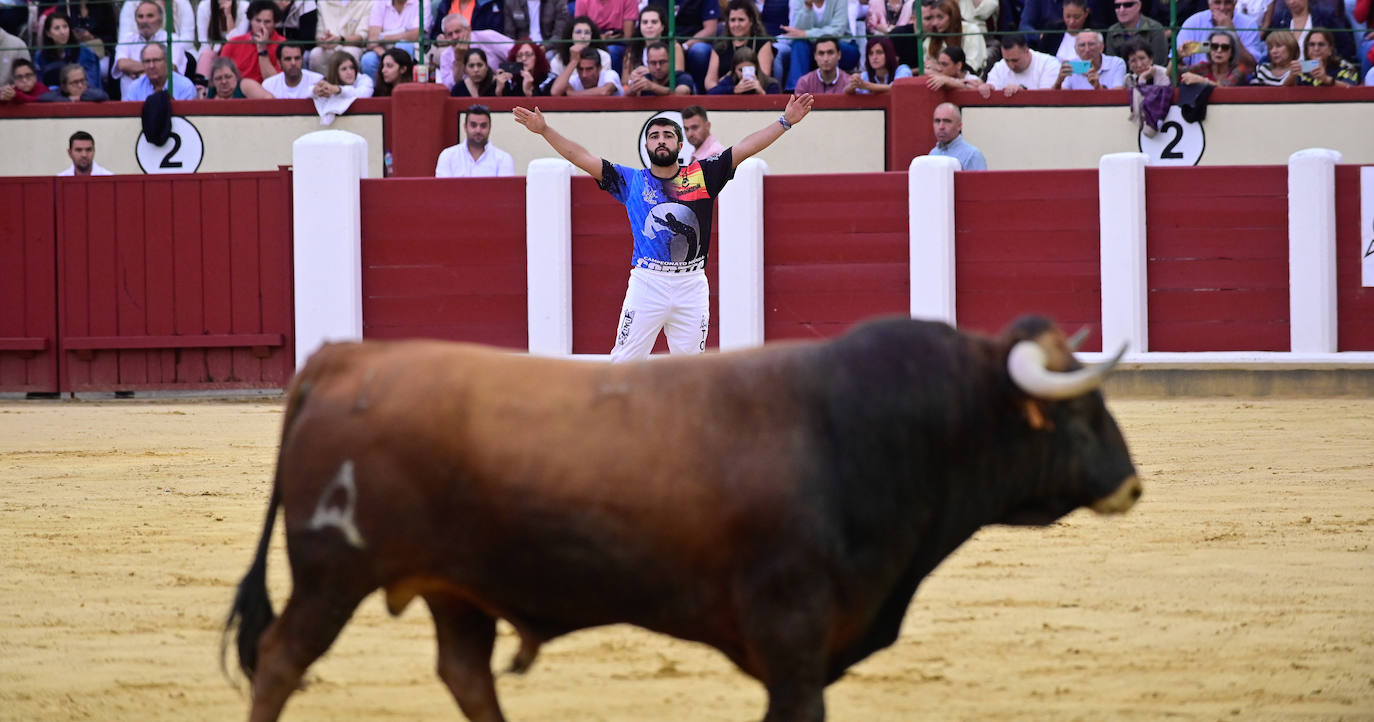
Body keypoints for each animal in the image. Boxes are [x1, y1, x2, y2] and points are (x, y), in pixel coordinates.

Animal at [225, 314, 1143, 720]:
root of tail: (343, 358)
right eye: (1079, 412)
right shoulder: (792, 633)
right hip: (332, 572)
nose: (1132, 486)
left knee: (464, 672)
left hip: (456, 586)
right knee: (281, 659)